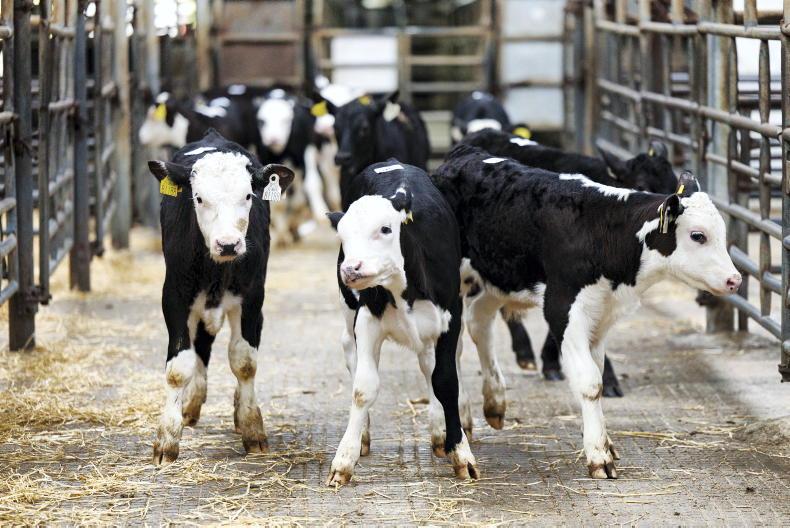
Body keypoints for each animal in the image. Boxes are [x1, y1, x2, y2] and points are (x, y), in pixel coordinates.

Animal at [147, 129, 294, 465]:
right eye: (199, 198)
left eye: (248, 196)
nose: (228, 244)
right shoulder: (174, 297)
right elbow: (179, 367)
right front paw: (167, 438)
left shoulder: (252, 297)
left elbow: (244, 362)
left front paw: (252, 428)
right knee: (200, 346)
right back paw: (191, 404)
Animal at [325, 160, 477, 486]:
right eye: (342, 235)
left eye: (385, 228)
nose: (351, 268)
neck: (404, 287)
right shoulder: (366, 320)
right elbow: (363, 388)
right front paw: (344, 459)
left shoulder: (449, 320)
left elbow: (445, 382)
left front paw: (461, 452)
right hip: (348, 305)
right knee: (349, 346)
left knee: (431, 367)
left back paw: (439, 431)